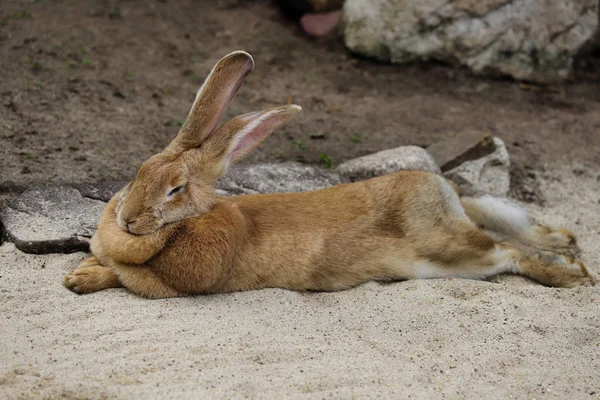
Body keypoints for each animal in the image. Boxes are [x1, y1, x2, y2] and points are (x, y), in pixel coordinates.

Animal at [63, 51, 592, 298]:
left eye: (175, 189)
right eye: (138, 172)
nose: (127, 219)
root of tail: (442, 190)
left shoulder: (183, 280)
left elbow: (124, 276)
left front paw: (80, 279)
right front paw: (80, 272)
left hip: (452, 249)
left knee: (508, 251)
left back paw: (571, 274)